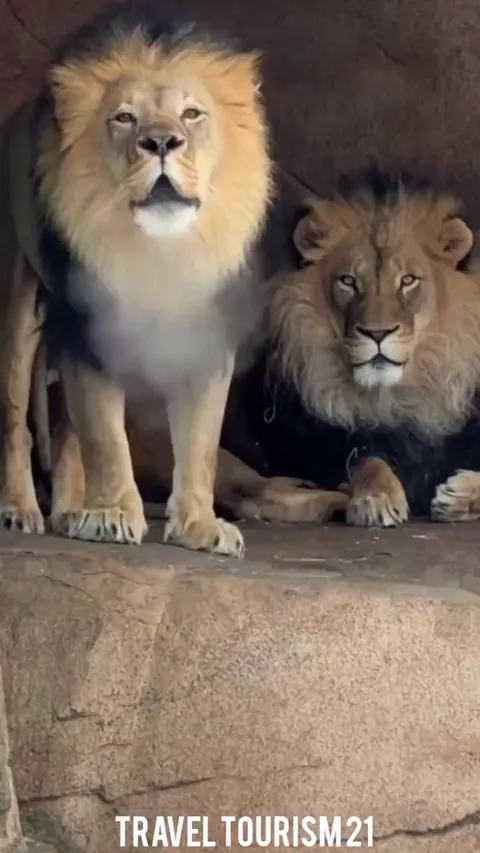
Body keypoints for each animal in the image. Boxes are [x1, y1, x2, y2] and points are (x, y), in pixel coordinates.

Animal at [259, 170, 480, 527]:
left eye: (408, 280)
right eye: (348, 281)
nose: (377, 333)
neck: (391, 398)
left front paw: (459, 497)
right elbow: (366, 460)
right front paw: (376, 499)